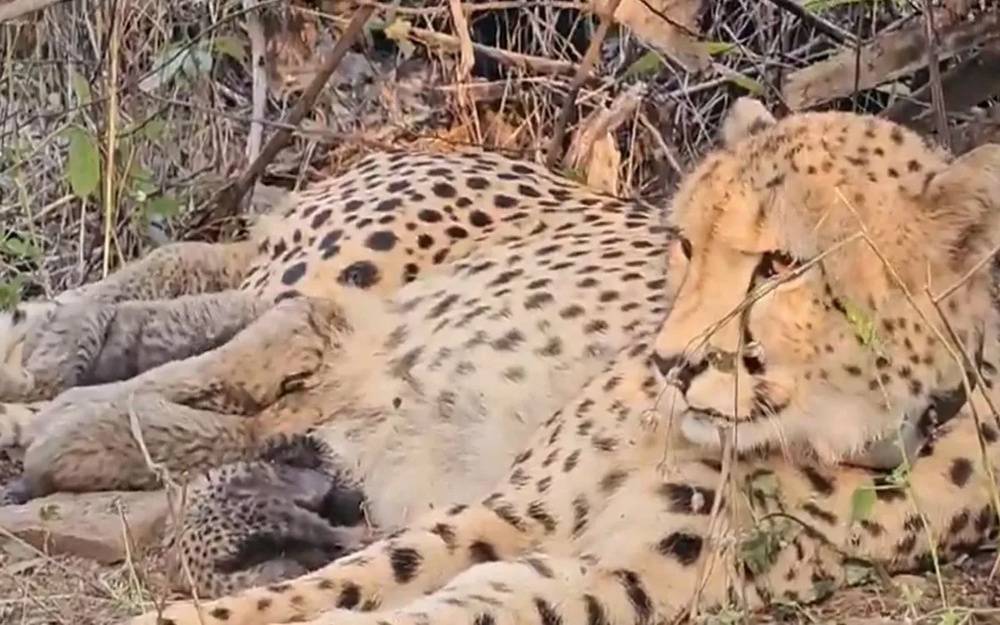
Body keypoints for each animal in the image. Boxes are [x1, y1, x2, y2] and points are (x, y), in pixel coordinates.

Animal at [108, 98, 1000, 625]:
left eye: (782, 265)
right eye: (687, 243)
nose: (672, 362)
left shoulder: (612, 575)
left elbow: (446, 603)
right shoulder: (515, 509)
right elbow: (359, 572)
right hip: (333, 273)